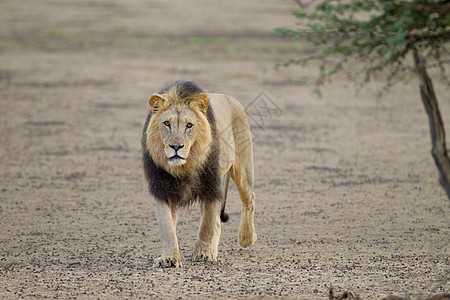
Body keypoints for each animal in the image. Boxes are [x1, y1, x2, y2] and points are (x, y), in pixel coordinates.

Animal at [143, 80, 256, 268]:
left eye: (189, 125)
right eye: (166, 123)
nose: (175, 147)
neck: (183, 167)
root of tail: (232, 98)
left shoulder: (210, 186)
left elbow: (206, 225)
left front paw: (204, 253)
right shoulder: (162, 189)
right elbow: (167, 227)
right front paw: (169, 258)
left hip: (243, 170)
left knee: (249, 199)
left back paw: (246, 237)